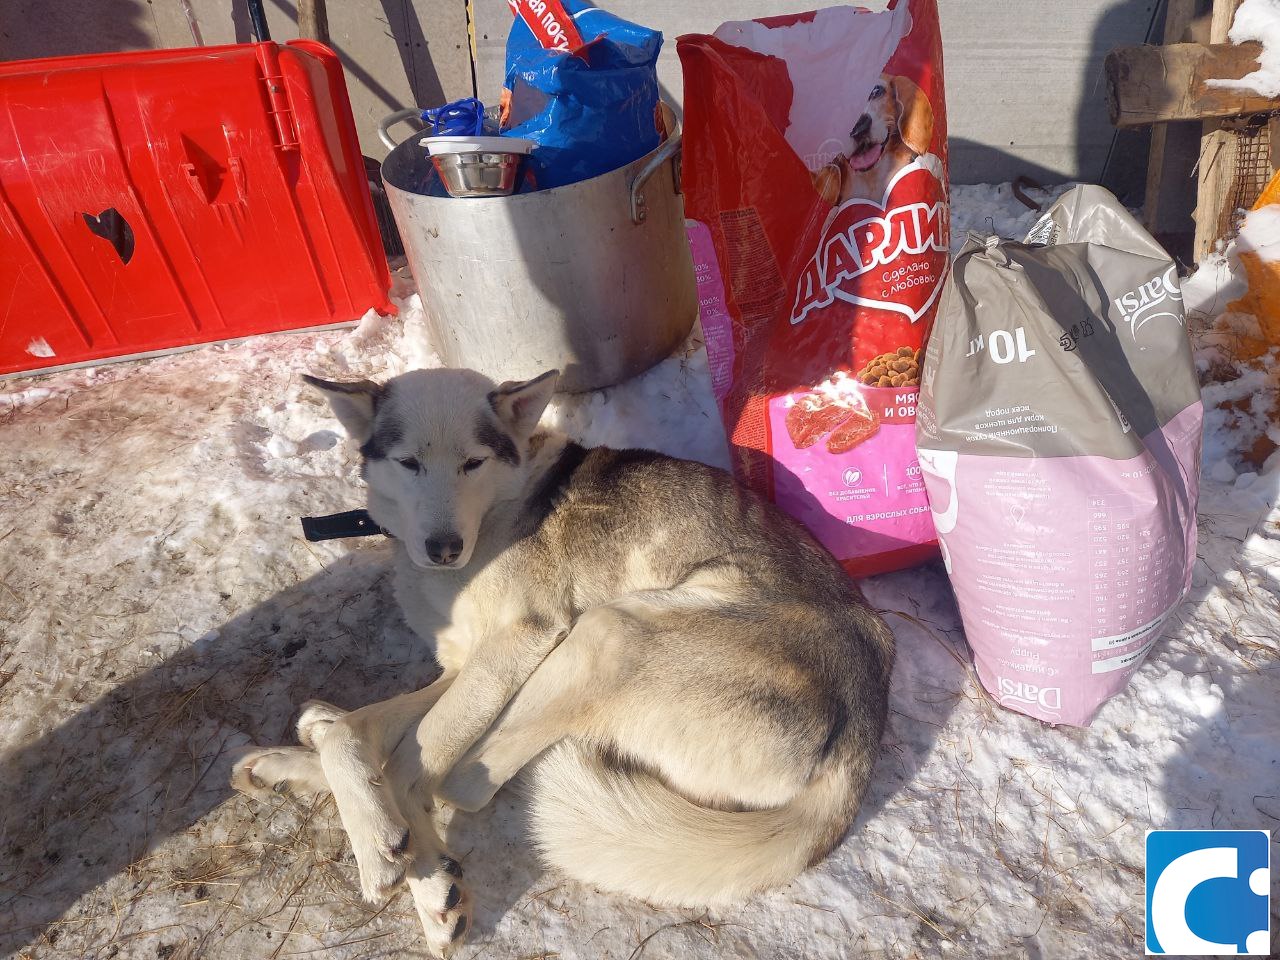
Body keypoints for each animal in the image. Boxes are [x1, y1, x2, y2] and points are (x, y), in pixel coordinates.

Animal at [227, 366, 890, 957]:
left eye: (474, 463)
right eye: (409, 463)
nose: (444, 548)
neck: (499, 505)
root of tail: (862, 730)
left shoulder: (516, 644)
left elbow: (411, 760)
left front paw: (416, 872)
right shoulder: (466, 665)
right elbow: (358, 731)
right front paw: (332, 779)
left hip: (607, 632)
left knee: (459, 781)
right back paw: (299, 757)